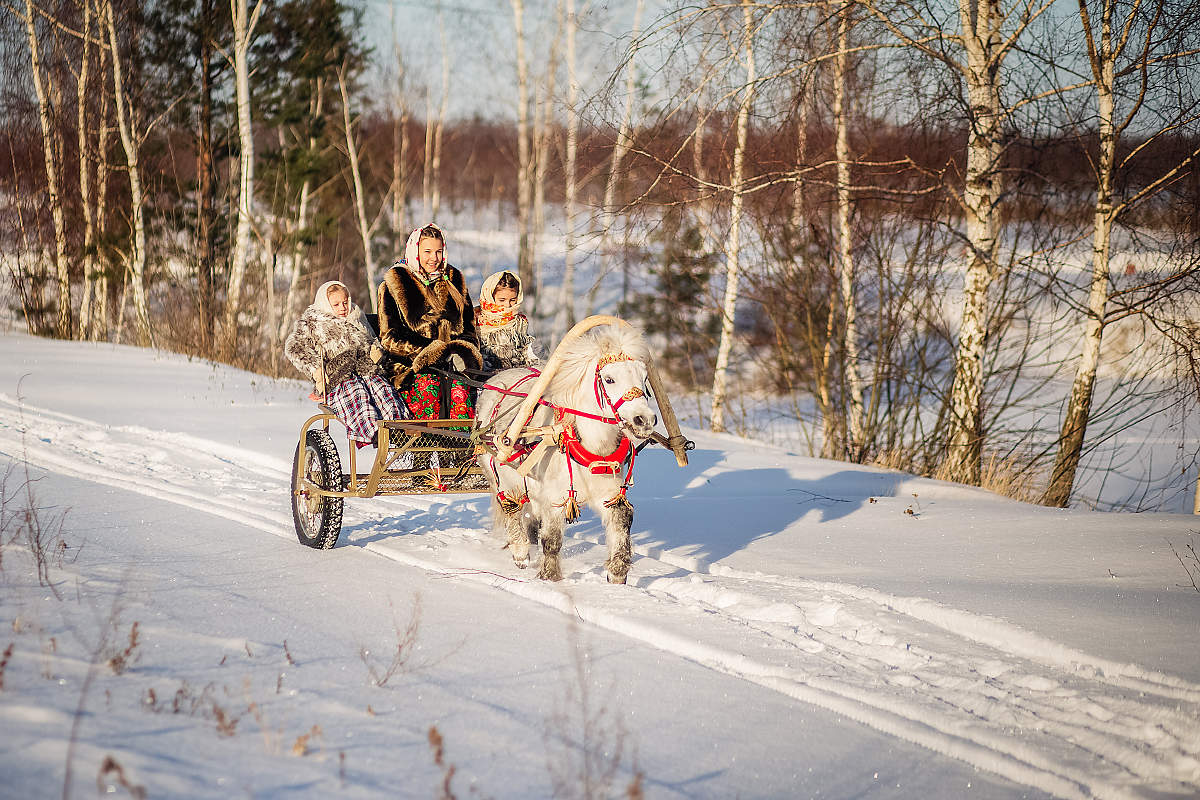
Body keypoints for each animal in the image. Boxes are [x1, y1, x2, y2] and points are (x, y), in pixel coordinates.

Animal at [477, 323, 662, 582]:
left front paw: (617, 574)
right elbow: (552, 539)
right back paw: (521, 551)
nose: (644, 420)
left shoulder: (609, 492)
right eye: (609, 379)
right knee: (511, 507)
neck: (593, 445)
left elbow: (622, 520)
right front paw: (550, 577)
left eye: (644, 378)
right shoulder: (555, 497)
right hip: (500, 474)